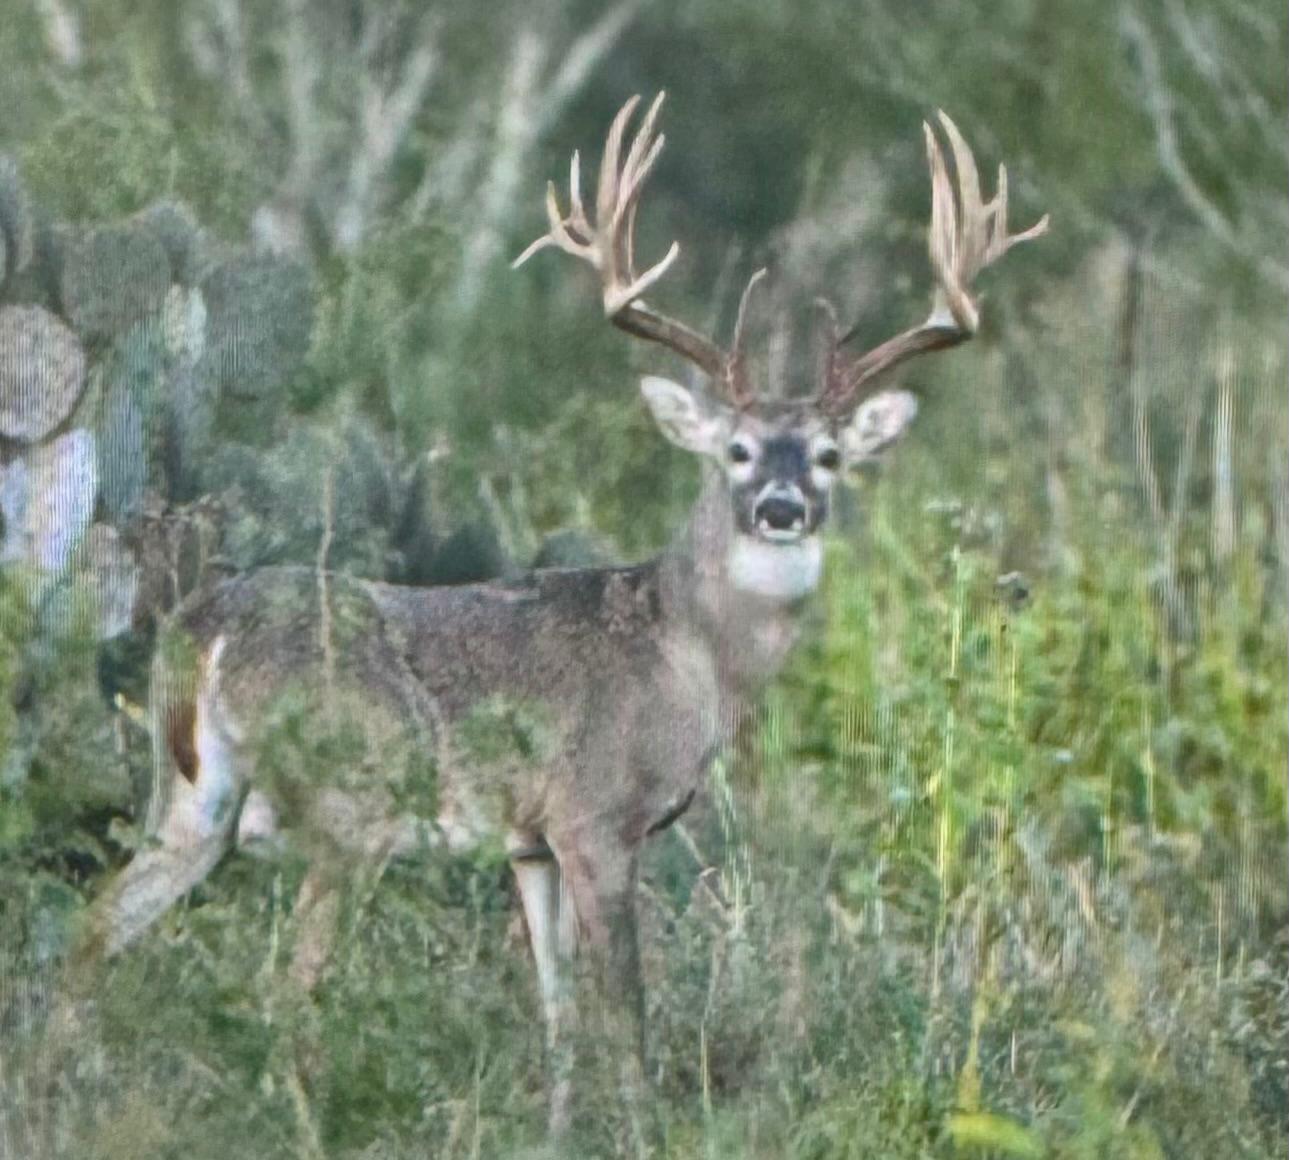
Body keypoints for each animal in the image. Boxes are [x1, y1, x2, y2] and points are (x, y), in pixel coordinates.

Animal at [64, 94, 1046, 1149]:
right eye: (737, 450)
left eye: (826, 455)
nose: (781, 507)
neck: (685, 653)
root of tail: (202, 628)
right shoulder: (596, 816)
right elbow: (626, 1010)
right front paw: (646, 1132)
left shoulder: (527, 841)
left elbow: (557, 1008)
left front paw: (556, 1131)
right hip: (350, 804)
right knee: (284, 985)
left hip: (190, 797)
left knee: (97, 928)